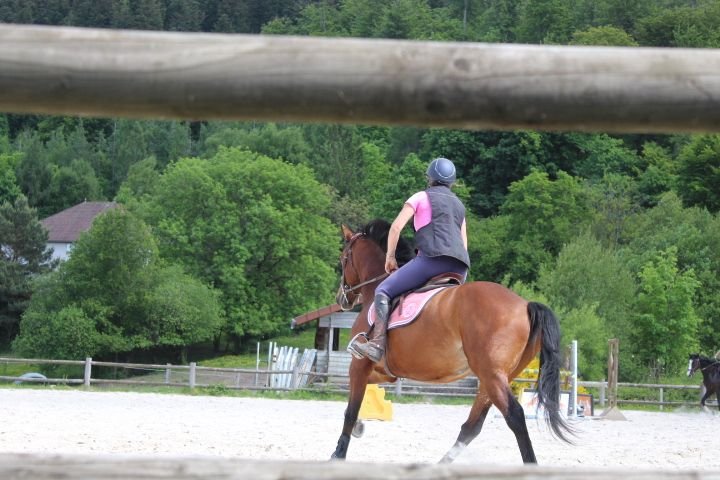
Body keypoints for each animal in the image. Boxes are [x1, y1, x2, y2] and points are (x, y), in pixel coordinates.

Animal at [331, 219, 572, 464]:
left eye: (343, 258)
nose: (342, 299)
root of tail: (525, 305)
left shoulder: (359, 364)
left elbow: (351, 408)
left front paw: (339, 453)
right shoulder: (384, 371)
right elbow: (357, 397)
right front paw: (359, 427)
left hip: (492, 376)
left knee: (514, 416)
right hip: (493, 379)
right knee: (472, 426)